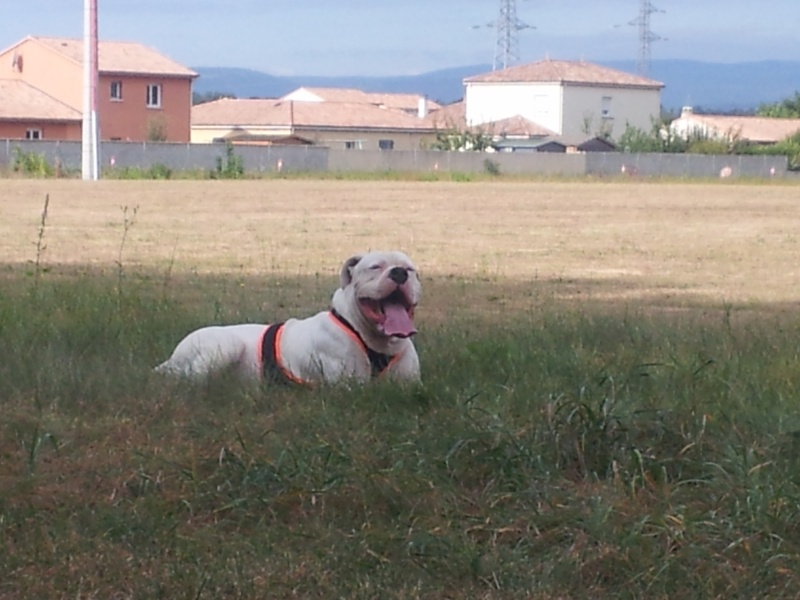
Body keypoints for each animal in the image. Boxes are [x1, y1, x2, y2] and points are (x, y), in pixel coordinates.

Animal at [153, 252, 422, 384]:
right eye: (374, 267)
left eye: (411, 269)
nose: (399, 273)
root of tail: (172, 356)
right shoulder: (350, 386)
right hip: (226, 345)